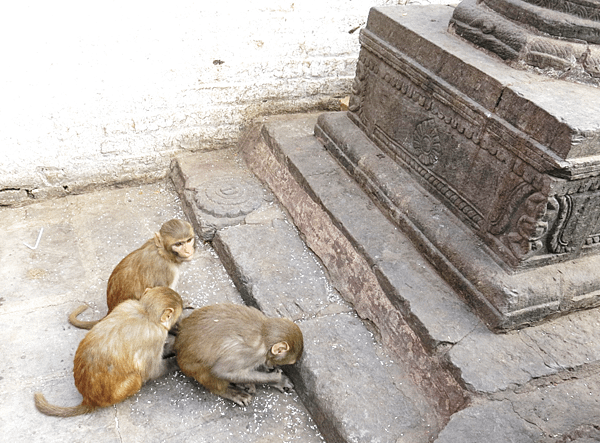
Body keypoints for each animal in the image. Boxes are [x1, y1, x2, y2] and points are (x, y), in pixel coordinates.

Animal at [33, 286, 180, 418]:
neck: (146, 312)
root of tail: (89, 399)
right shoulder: (155, 336)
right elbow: (153, 370)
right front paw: (176, 361)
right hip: (118, 393)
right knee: (137, 377)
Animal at [173, 304, 304, 408]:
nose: (272, 366)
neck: (263, 335)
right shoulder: (249, 353)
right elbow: (221, 371)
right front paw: (274, 378)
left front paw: (279, 380)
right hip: (191, 368)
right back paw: (230, 392)